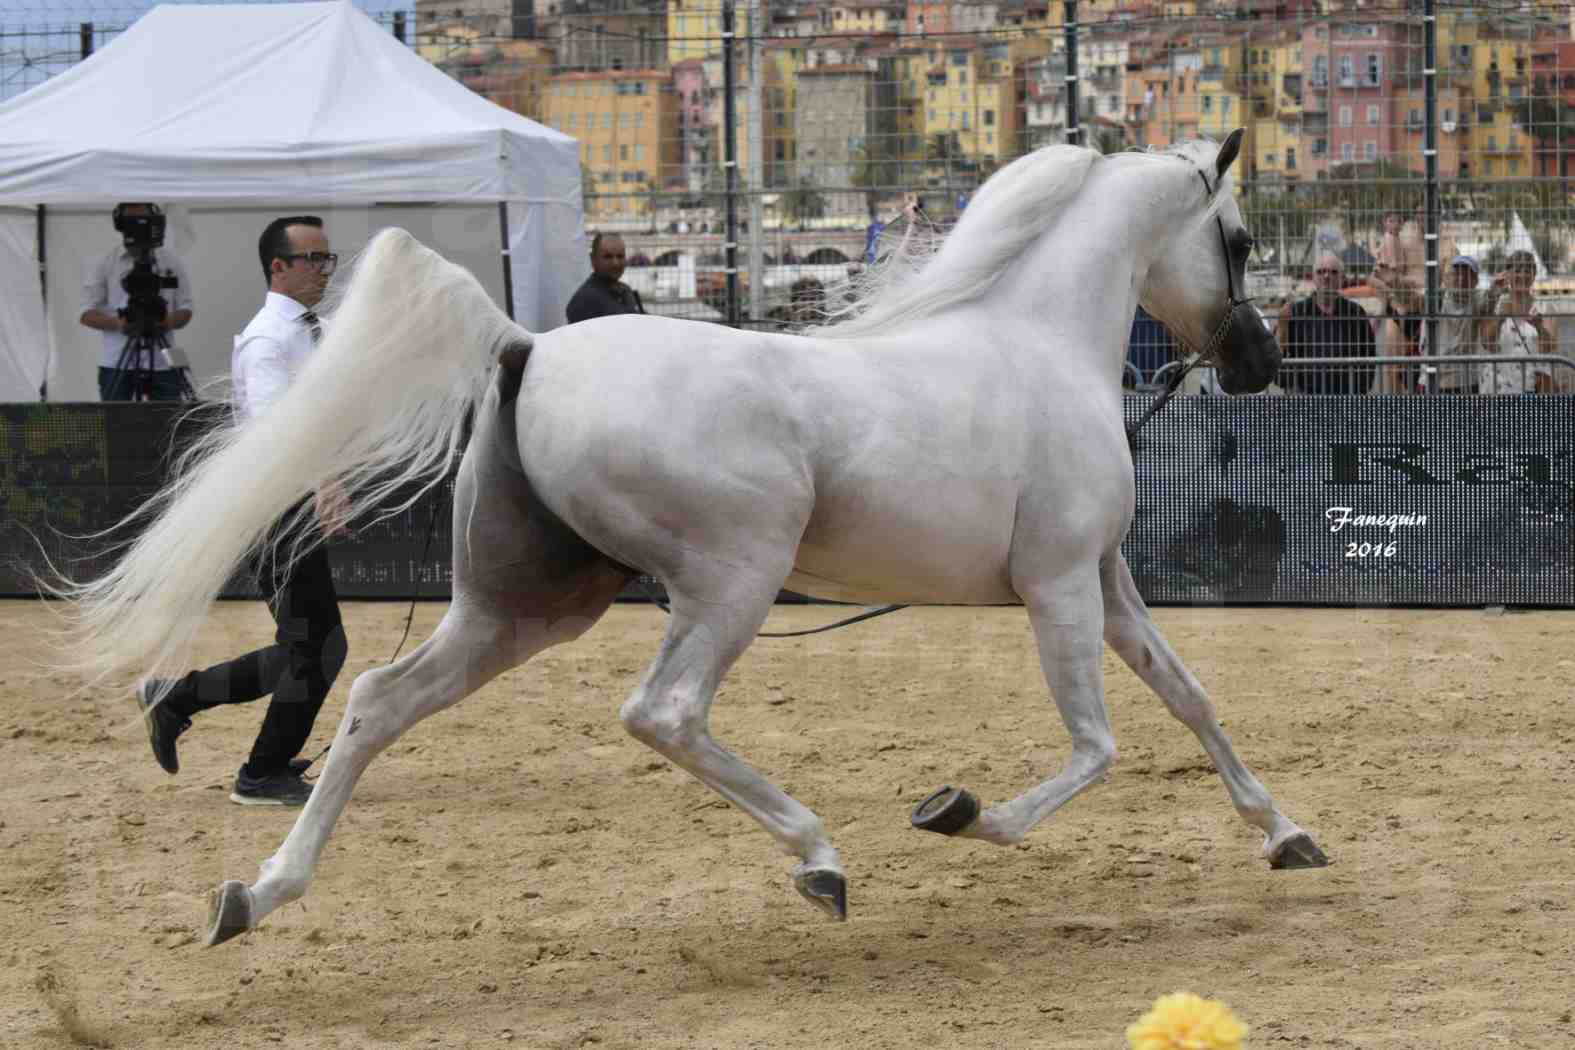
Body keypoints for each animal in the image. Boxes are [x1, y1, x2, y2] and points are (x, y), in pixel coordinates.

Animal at [70, 127, 1329, 950]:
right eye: (1239, 238)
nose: (1262, 363)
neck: (1038, 343)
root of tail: (526, 344)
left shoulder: (1106, 582)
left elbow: (1189, 699)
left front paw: (1287, 839)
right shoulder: (1059, 583)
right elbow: (1097, 745)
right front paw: (960, 815)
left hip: (528, 605)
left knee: (377, 699)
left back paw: (256, 896)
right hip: (730, 580)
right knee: (661, 712)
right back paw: (820, 862)